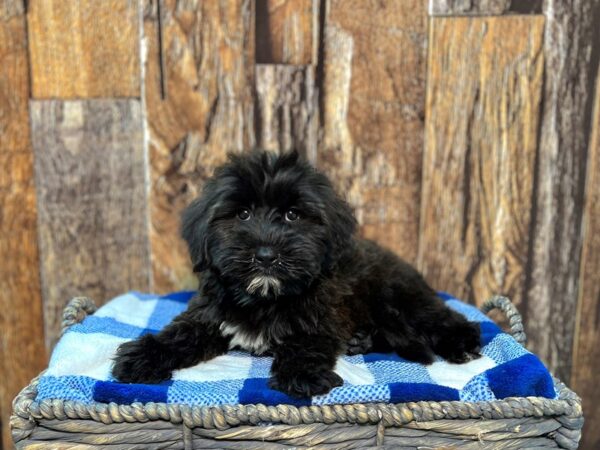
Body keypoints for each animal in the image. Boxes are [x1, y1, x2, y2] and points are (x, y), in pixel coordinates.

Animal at [111, 150, 478, 398]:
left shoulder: (321, 315)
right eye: (242, 214)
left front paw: (301, 374)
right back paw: (362, 340)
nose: (266, 256)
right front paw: (143, 356)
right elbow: (180, 334)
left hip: (399, 297)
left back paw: (462, 343)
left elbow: (306, 341)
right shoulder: (209, 315)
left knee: (442, 317)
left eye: (292, 215)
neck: (264, 297)